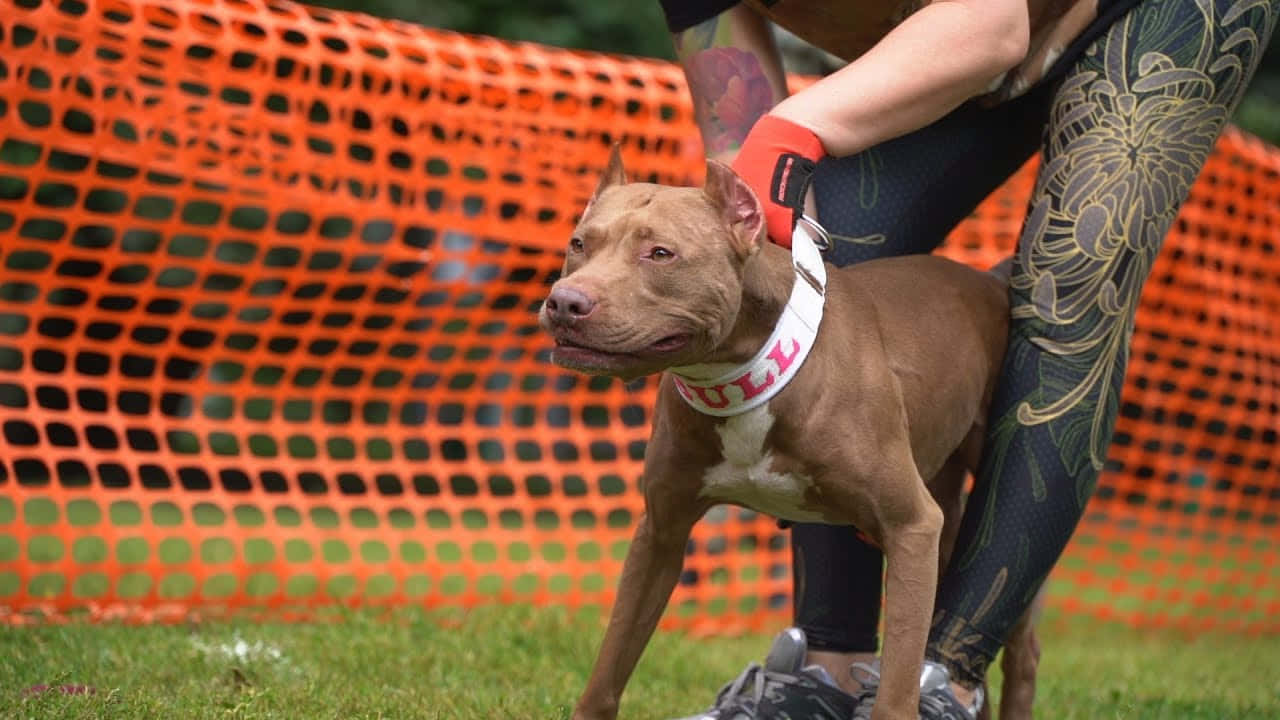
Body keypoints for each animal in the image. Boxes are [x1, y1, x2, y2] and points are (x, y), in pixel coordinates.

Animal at [540, 147, 1039, 717]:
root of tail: (991, 281)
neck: (752, 373)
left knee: (1021, 643)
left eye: (660, 253)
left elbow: (897, 690)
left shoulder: (912, 527)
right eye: (579, 244)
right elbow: (611, 662)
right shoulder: (660, 534)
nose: (565, 302)